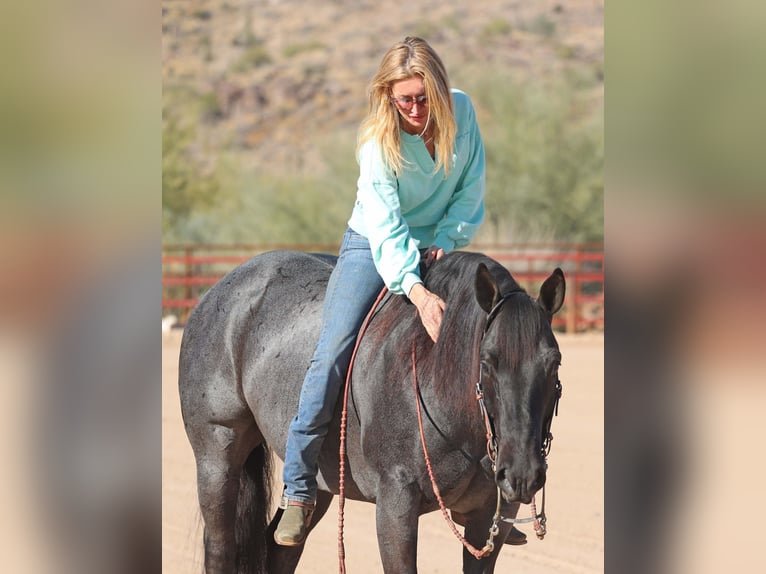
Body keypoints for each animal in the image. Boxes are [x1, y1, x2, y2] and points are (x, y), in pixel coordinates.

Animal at [178, 251, 564, 574]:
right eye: (486, 362)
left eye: (554, 363)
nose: (522, 475)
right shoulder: (395, 508)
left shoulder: (488, 520)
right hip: (217, 460)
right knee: (220, 548)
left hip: (318, 484)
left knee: (280, 549)